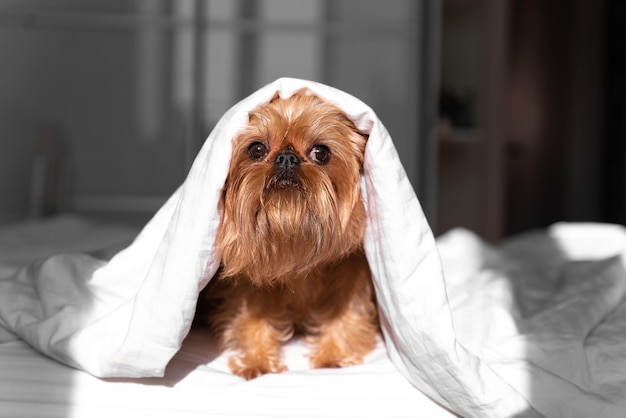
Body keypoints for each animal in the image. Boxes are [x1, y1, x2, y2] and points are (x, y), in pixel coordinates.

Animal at [202, 93, 376, 380]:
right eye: (257, 149)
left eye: (320, 152)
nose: (286, 158)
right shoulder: (250, 280)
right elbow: (253, 314)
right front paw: (257, 360)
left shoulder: (352, 272)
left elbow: (345, 309)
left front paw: (333, 357)